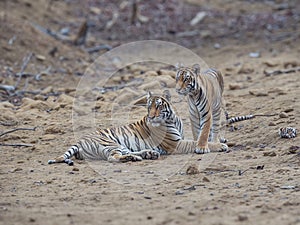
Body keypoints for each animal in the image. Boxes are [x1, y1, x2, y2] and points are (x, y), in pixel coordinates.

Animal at [48, 91, 227, 165]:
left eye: (158, 106)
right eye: (149, 107)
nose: (152, 116)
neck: (172, 118)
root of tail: (80, 140)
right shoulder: (176, 143)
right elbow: (197, 142)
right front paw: (220, 145)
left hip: (120, 145)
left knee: (124, 153)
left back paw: (147, 154)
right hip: (110, 144)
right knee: (112, 158)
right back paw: (134, 158)